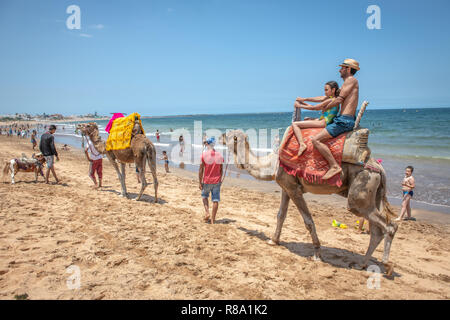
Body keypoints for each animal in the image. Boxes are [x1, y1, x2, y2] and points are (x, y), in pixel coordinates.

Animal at [221, 102, 398, 276]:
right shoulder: (286, 185)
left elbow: (308, 221)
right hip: (373, 192)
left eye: (229, 135)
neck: (272, 164)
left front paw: (317, 254)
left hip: (361, 188)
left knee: (386, 225)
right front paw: (273, 240)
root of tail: (378, 167)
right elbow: (281, 215)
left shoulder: (294, 189)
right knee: (376, 230)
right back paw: (362, 264)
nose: (220, 135)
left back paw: (386, 265)